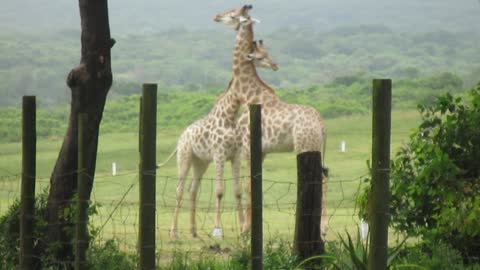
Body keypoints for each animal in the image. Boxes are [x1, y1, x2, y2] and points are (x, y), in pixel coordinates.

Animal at [215, 10, 330, 235]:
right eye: (262, 55)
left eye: (231, 14)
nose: (216, 16)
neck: (250, 97)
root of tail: (322, 124)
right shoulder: (262, 151)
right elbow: (255, 184)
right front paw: (251, 226)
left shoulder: (247, 146)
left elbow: (248, 184)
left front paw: (245, 229)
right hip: (314, 146)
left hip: (305, 145)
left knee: (320, 179)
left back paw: (322, 227)